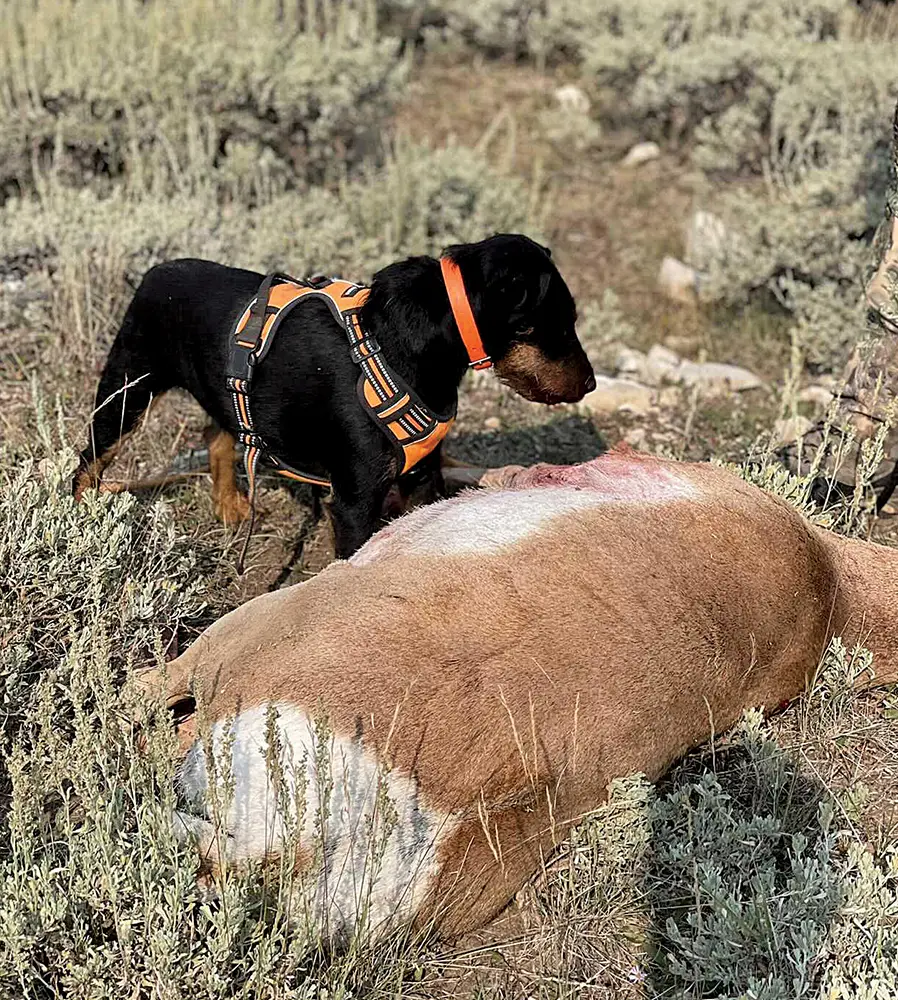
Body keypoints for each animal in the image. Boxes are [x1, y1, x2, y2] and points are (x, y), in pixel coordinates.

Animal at [73, 237, 592, 560]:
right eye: (559, 323)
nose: (589, 384)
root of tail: (157, 271)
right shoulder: (354, 502)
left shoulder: (423, 476)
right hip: (126, 389)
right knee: (88, 461)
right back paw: (82, 522)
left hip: (219, 389)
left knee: (217, 431)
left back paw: (231, 505)